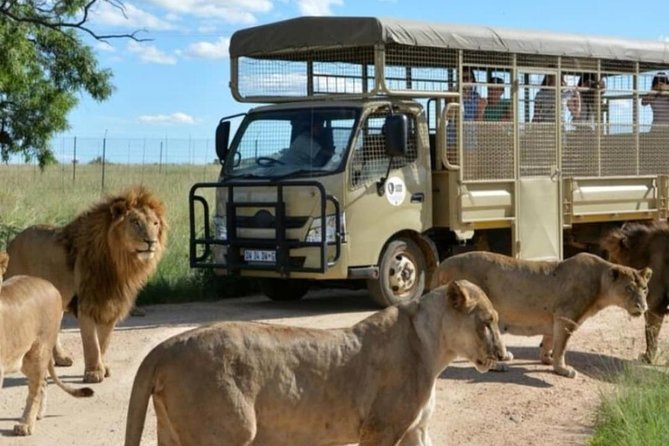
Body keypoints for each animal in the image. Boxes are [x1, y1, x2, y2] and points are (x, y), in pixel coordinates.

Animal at [0, 252, 93, 436]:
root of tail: (49, 284)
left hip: (38, 352)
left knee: (35, 389)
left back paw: (26, 424)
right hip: (26, 359)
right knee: (42, 383)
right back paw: (37, 415)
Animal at [5, 185, 167, 383]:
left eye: (155, 224)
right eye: (136, 222)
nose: (151, 241)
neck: (120, 263)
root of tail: (12, 242)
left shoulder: (111, 304)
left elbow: (104, 342)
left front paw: (103, 368)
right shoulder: (86, 304)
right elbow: (92, 342)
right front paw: (94, 372)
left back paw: (61, 359)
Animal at [124, 280, 508, 446]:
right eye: (487, 321)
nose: (505, 355)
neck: (433, 348)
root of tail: (164, 347)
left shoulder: (415, 430)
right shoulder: (381, 430)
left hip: (171, 433)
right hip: (229, 433)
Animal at [431, 251, 651, 378]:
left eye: (645, 289)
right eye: (629, 289)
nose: (643, 307)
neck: (600, 283)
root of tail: (442, 265)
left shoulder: (554, 317)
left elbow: (549, 340)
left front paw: (547, 359)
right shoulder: (566, 317)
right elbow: (562, 346)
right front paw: (562, 369)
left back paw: (506, 356)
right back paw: (498, 366)